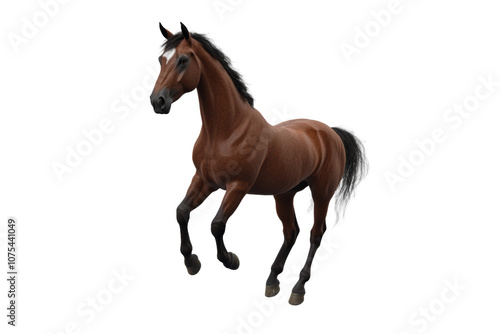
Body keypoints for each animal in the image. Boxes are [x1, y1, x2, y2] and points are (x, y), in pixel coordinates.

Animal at [149, 22, 368, 306]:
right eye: (161, 60)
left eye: (183, 60)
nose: (157, 101)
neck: (226, 131)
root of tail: (330, 132)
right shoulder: (205, 180)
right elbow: (181, 212)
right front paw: (192, 262)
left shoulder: (238, 186)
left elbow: (217, 224)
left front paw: (231, 260)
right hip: (284, 195)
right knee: (291, 232)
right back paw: (272, 280)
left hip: (322, 193)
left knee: (315, 233)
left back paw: (298, 288)